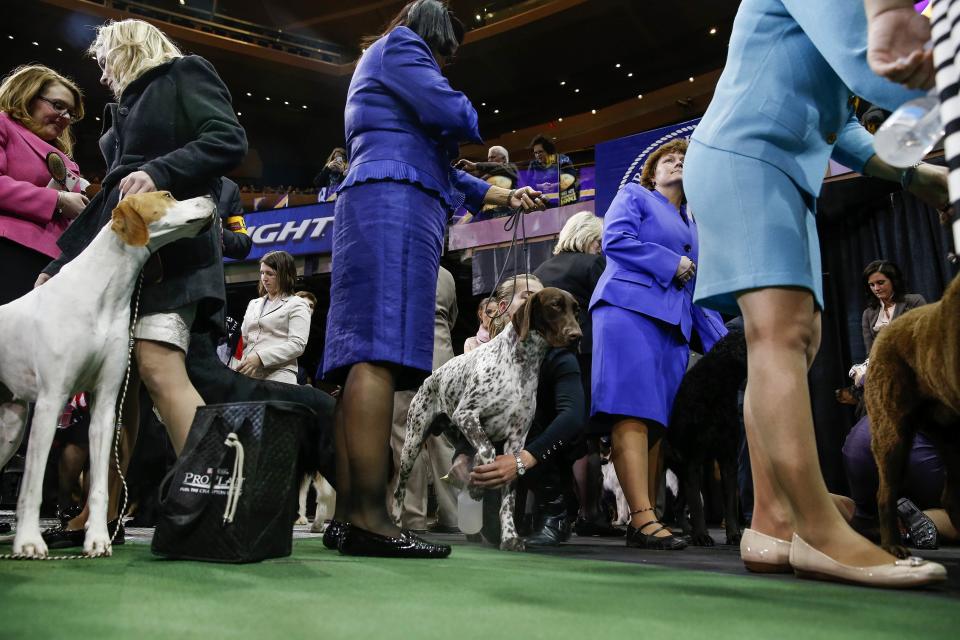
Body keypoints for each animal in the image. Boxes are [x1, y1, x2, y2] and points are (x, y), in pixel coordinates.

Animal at [0, 190, 214, 556]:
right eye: (168, 195)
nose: (210, 196)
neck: (101, 292)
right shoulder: (51, 402)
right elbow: (32, 486)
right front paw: (28, 541)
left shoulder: (105, 405)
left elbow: (100, 484)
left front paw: (98, 538)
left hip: (11, 425)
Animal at [394, 288, 580, 552]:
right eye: (555, 305)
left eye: (576, 310)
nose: (577, 336)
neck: (521, 364)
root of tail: (430, 378)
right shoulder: (467, 415)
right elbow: (488, 451)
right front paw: (476, 487)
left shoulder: (517, 441)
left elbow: (508, 497)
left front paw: (510, 536)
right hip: (412, 445)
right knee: (399, 491)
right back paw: (396, 523)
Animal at [668, 330, 752, 544]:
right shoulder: (693, 459)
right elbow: (697, 505)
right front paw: (702, 536)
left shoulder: (728, 457)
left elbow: (730, 502)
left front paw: (734, 535)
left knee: (678, 505)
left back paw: (687, 531)